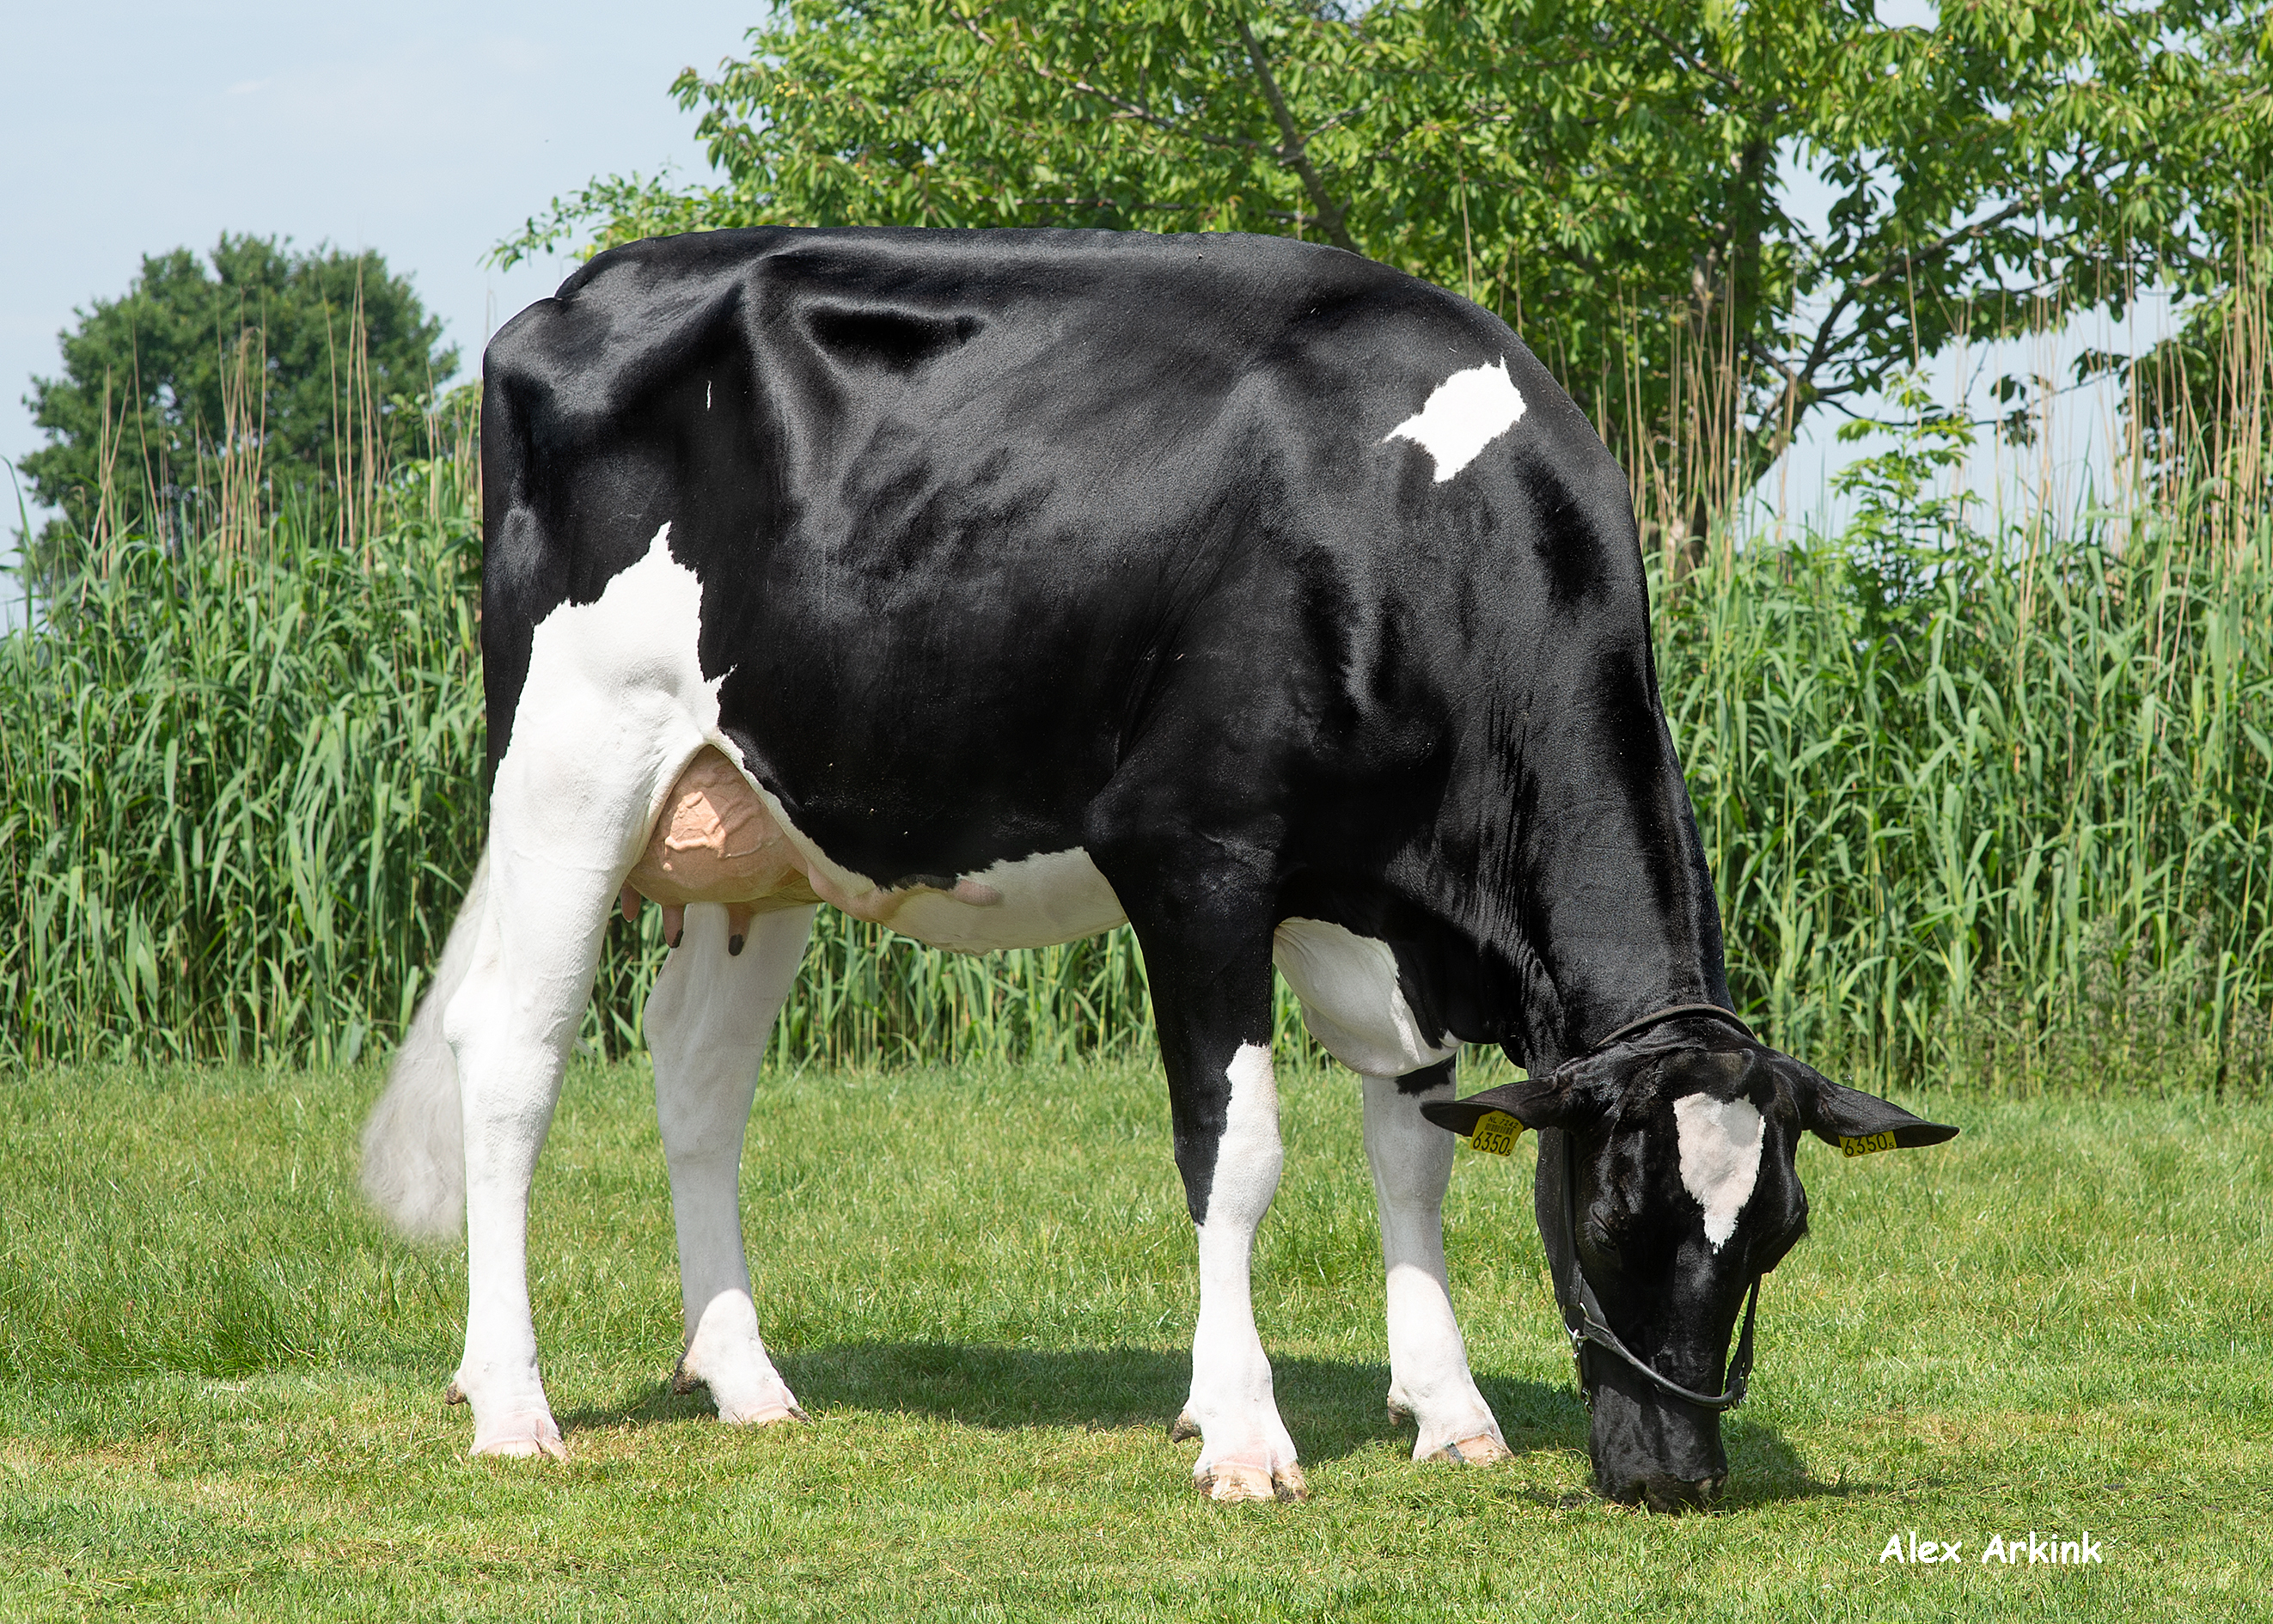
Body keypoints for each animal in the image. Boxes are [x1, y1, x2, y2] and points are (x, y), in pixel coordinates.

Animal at [358, 228, 1954, 1508]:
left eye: (1783, 1233)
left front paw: (1447, 1410)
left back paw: (743, 1379)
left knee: (698, 1076)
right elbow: (1235, 1153)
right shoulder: (1197, 861)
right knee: (511, 1058)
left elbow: (1413, 1146)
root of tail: (579, 293)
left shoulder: (1367, 902)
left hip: (754, 833)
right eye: (1616, 1211)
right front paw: (1242, 1434)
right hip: (572, 761)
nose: (1676, 1477)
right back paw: (513, 1404)